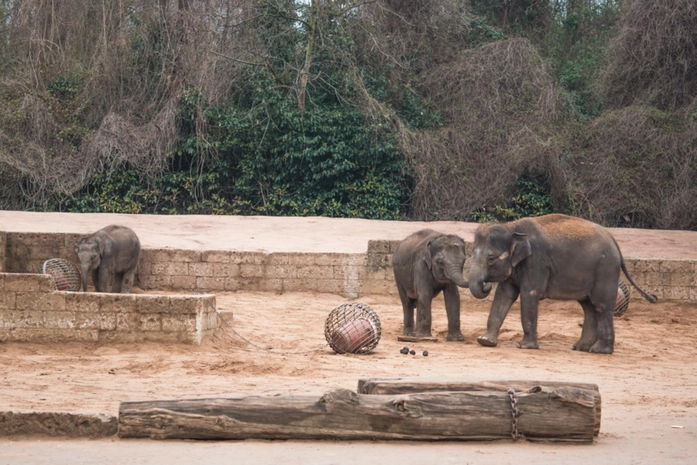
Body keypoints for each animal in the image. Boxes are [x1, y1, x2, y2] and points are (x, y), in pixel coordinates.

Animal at [464, 213, 656, 352]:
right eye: (471, 254)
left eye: (491, 258)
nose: (486, 283)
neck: (512, 227)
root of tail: (614, 242)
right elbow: (504, 295)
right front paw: (485, 341)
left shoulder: (537, 262)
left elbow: (528, 295)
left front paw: (525, 346)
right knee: (589, 307)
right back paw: (581, 348)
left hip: (605, 269)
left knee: (601, 306)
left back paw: (599, 350)